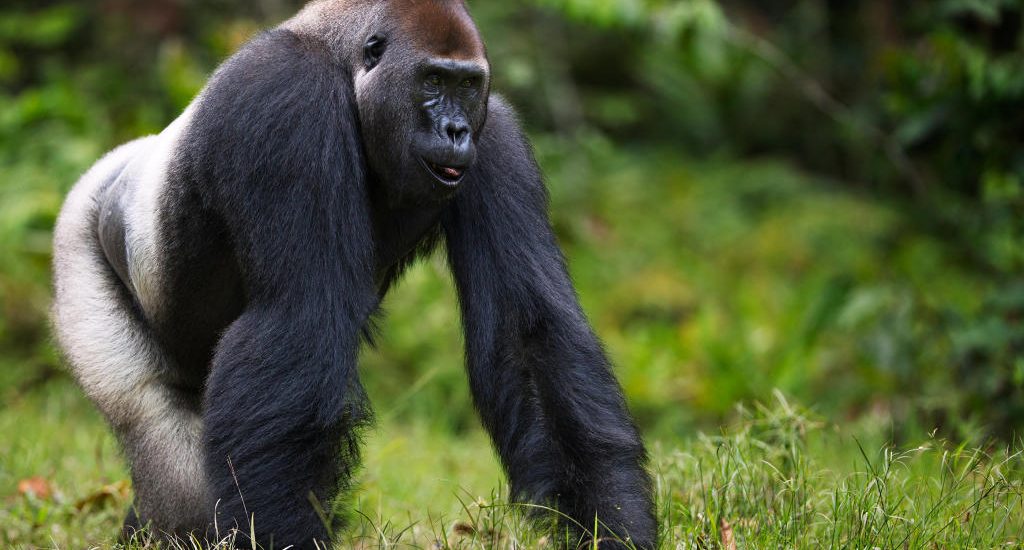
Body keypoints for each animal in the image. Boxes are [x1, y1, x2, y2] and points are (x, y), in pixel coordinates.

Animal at [49, 1, 655, 544]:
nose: (456, 129)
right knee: (158, 428)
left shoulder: (498, 135)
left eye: (466, 85)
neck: (340, 59)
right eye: (432, 80)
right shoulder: (288, 98)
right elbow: (302, 320)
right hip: (77, 239)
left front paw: (611, 523)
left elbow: (528, 337)